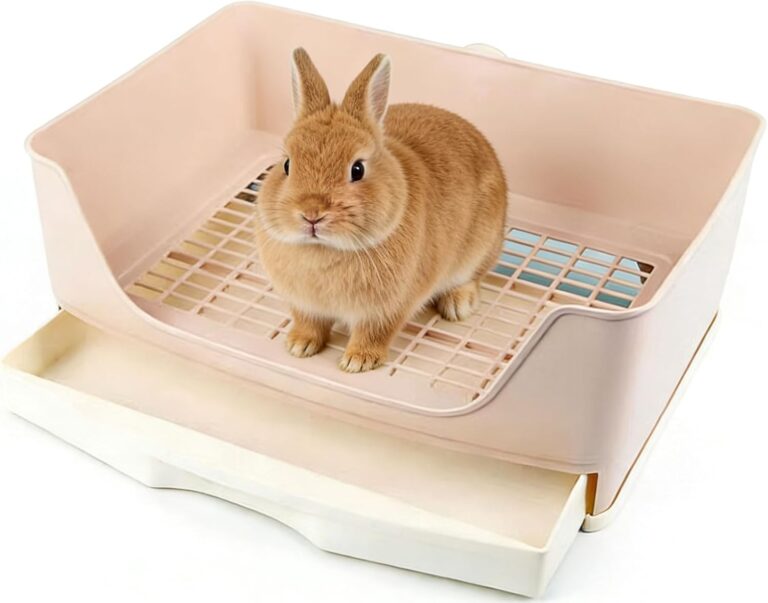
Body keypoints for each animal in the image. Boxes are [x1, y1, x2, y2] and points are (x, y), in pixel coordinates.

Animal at [254, 48, 507, 373]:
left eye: (357, 169)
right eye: (287, 165)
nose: (312, 213)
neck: (324, 250)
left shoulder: (387, 309)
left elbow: (374, 333)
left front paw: (357, 362)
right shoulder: (305, 306)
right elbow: (309, 323)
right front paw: (299, 345)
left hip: (480, 248)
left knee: (473, 276)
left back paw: (456, 305)